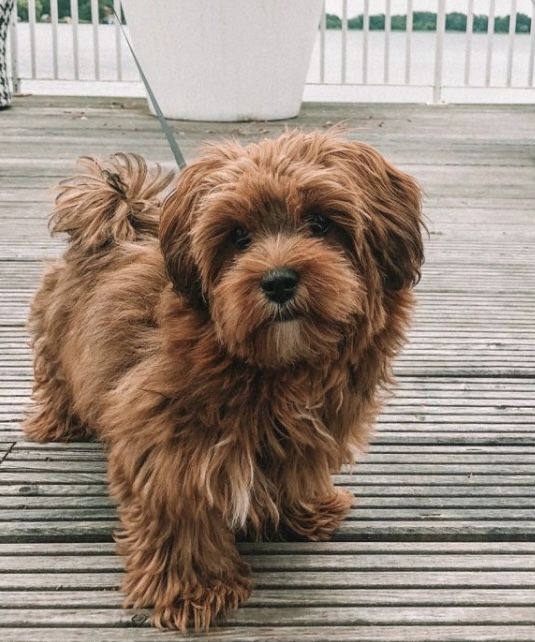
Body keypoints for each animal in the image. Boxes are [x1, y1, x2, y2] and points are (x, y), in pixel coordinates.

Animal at [25, 130, 426, 632]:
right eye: (238, 236)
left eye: (320, 222)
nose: (278, 281)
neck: (274, 370)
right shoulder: (165, 438)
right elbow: (181, 511)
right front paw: (196, 589)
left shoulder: (306, 429)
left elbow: (296, 468)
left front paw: (304, 509)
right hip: (56, 340)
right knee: (55, 377)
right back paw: (58, 421)